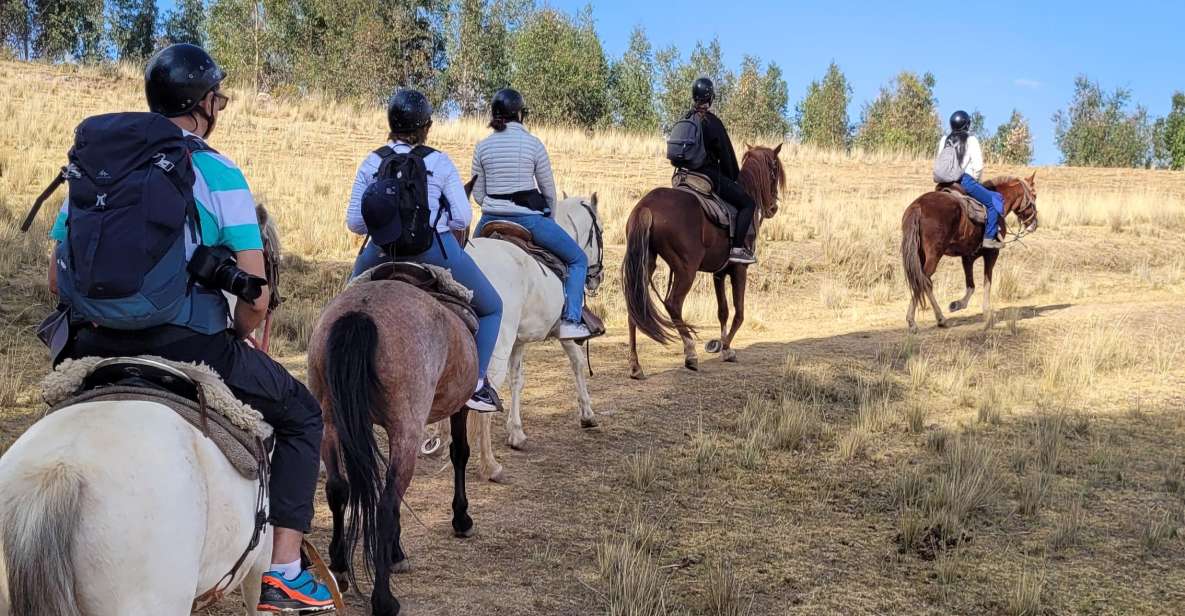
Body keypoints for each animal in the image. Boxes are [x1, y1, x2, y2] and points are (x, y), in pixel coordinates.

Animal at [308, 278, 478, 616]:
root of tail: (361, 312)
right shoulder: (459, 406)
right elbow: (460, 453)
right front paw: (461, 518)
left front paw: (396, 552)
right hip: (406, 429)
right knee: (386, 503)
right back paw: (383, 599)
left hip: (330, 419)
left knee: (338, 489)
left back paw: (339, 566)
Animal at [620, 145, 786, 379]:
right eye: (774, 171)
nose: (773, 208)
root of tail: (646, 206)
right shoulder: (739, 269)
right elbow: (739, 312)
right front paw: (726, 349)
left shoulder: (719, 273)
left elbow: (723, 311)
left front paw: (723, 345)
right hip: (686, 270)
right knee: (673, 304)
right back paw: (690, 353)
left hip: (645, 264)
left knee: (635, 307)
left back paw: (636, 366)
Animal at [905, 172, 1038, 331]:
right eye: (1034, 195)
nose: (1034, 224)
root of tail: (918, 206)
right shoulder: (992, 253)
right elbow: (987, 282)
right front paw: (987, 314)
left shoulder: (968, 256)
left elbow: (971, 285)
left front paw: (957, 304)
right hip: (934, 255)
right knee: (924, 280)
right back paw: (929, 319)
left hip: (920, 254)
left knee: (920, 280)